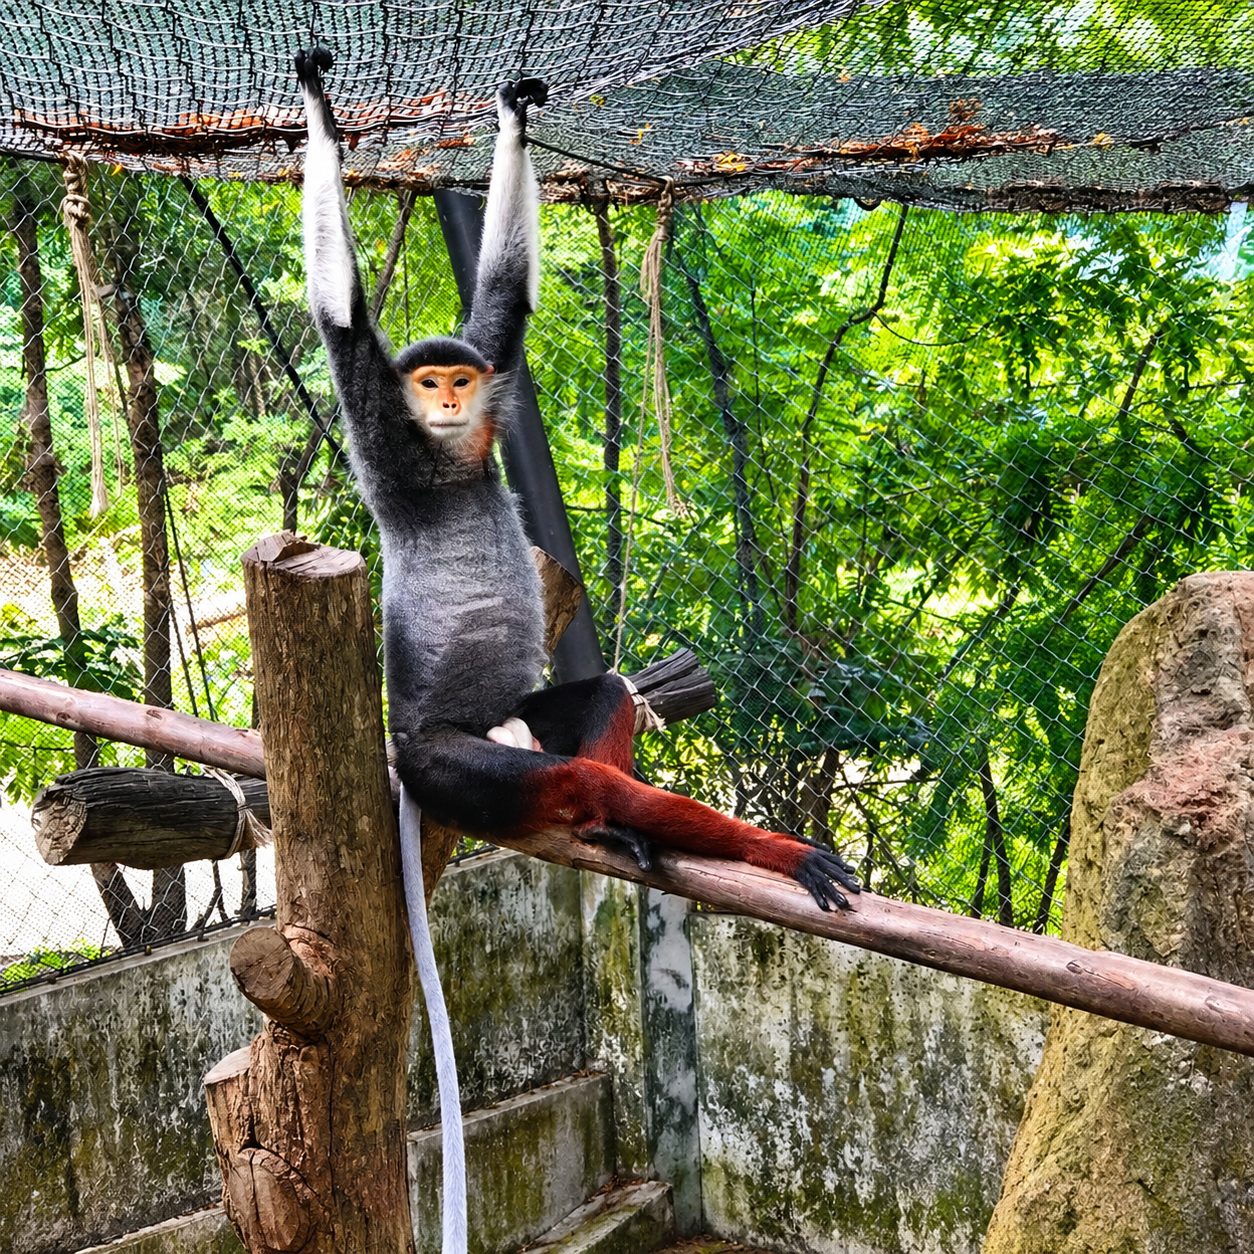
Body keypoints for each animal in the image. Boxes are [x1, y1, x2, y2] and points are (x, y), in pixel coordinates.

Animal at [296, 45, 859, 1250]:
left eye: (461, 377)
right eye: (426, 381)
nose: (449, 396)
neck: (448, 460)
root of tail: (471, 729)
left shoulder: (488, 370)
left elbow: (506, 301)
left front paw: (512, 117)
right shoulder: (379, 421)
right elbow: (340, 309)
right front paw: (318, 105)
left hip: (535, 710)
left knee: (597, 702)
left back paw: (623, 826)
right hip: (449, 761)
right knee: (556, 773)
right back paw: (635, 823)